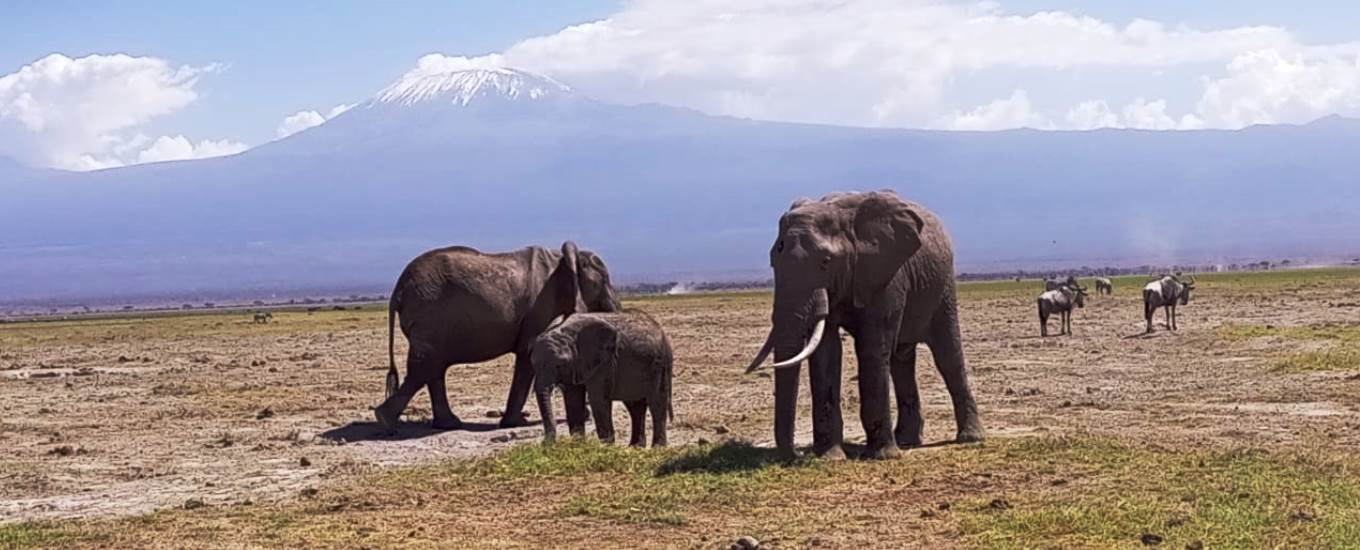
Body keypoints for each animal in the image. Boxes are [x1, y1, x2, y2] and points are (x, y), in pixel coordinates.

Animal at [374, 241, 621, 432]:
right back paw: (385, 421)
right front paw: (515, 423)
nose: (587, 413)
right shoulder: (539, 307)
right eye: (605, 279)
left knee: (433, 368)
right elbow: (528, 353)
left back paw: (447, 424)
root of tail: (397, 291)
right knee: (425, 367)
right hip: (429, 315)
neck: (561, 258)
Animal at [531, 311, 673, 447]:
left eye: (559, 365)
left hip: (660, 365)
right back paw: (635, 447)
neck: (567, 333)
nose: (543, 443)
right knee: (635, 406)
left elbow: (598, 399)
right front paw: (578, 445)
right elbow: (573, 399)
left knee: (657, 403)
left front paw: (606, 447)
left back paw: (657, 447)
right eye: (533, 364)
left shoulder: (604, 362)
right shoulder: (576, 365)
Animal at [746, 191, 983, 460]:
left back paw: (969, 438)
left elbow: (871, 346)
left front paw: (882, 456)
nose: (796, 454)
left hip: (943, 286)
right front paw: (831, 457)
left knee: (947, 355)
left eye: (826, 261)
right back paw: (907, 441)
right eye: (773, 261)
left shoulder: (886, 276)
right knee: (901, 360)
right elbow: (826, 352)